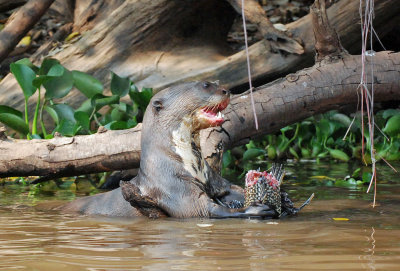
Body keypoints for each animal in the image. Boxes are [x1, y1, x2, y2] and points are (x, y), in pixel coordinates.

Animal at [63, 81, 276, 219]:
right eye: (205, 85)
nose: (227, 91)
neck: (190, 164)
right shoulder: (175, 188)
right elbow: (204, 210)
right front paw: (254, 210)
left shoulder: (214, 180)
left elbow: (232, 189)